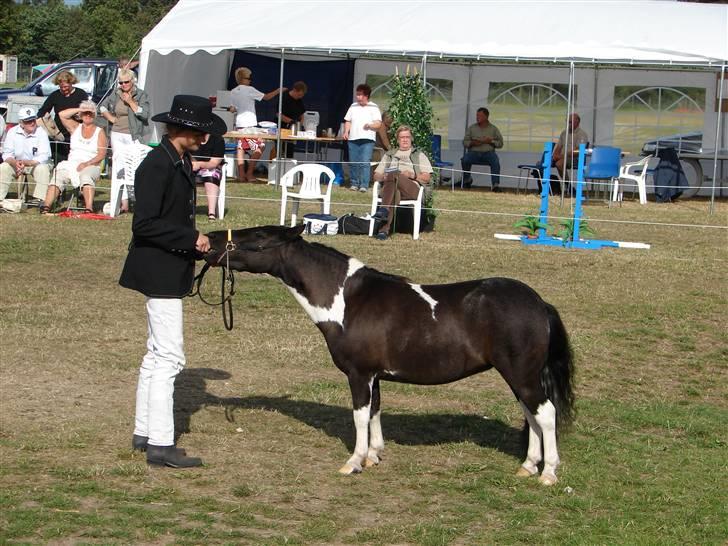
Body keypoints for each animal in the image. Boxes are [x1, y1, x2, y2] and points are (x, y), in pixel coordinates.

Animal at [205, 223, 576, 482]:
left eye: (258, 237)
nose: (209, 240)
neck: (347, 301)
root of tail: (538, 303)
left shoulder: (358, 374)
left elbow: (359, 416)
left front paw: (354, 462)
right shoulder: (375, 376)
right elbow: (375, 412)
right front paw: (373, 456)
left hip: (522, 374)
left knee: (545, 413)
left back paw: (548, 473)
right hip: (518, 376)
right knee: (531, 414)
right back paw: (528, 465)